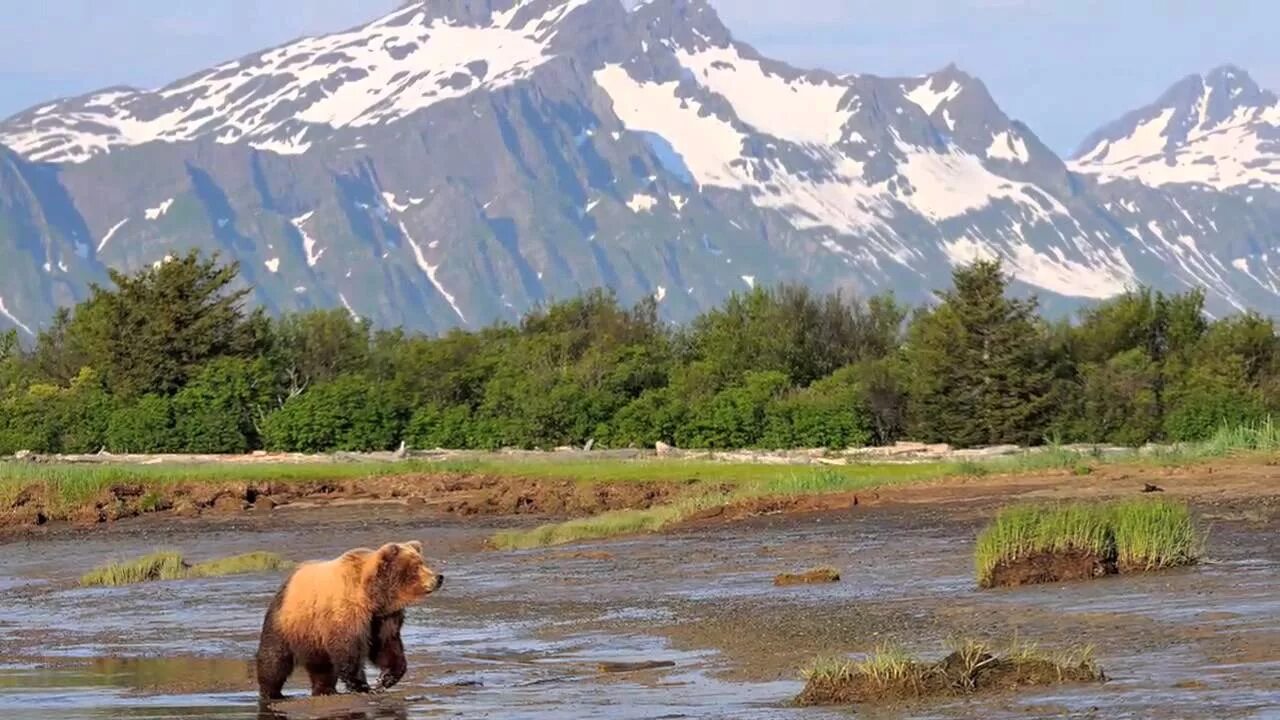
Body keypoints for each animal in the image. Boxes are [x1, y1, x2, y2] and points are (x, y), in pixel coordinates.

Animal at [254, 538, 445, 696]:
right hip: (287, 622)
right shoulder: (347, 612)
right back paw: (271, 692)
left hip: (313, 636)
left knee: (321, 667)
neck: (374, 596)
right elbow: (348, 648)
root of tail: (287, 581)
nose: (439, 577)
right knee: (274, 659)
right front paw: (362, 686)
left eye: (423, 562)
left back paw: (325, 689)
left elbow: (386, 644)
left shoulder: (383, 618)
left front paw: (385, 678)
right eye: (417, 566)